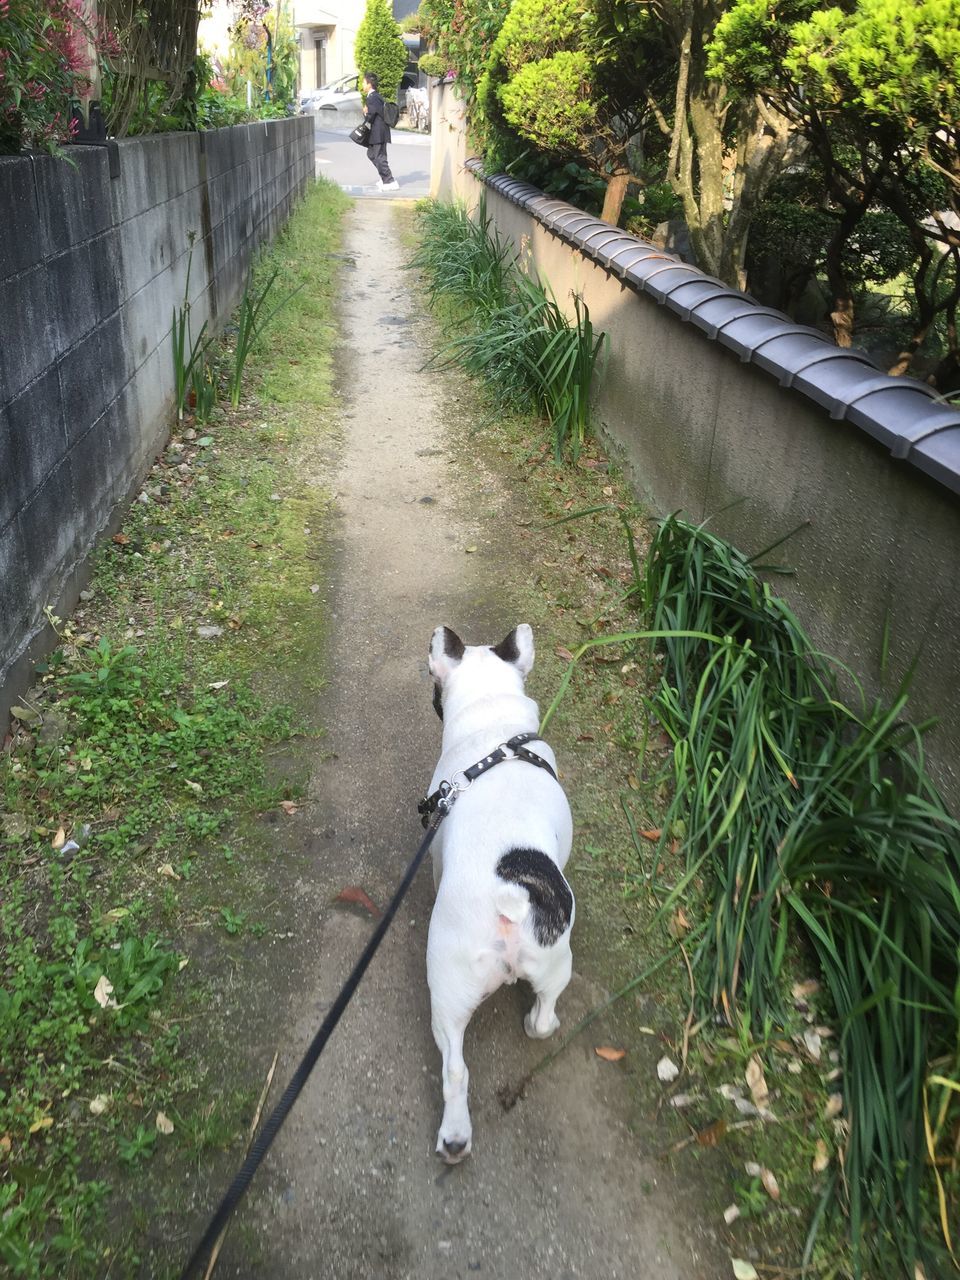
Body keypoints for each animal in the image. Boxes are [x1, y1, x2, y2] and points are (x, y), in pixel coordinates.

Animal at [424, 624, 576, 1167]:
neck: (494, 729)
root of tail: (509, 901)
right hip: (554, 962)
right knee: (541, 1019)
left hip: (445, 984)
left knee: (453, 1066)